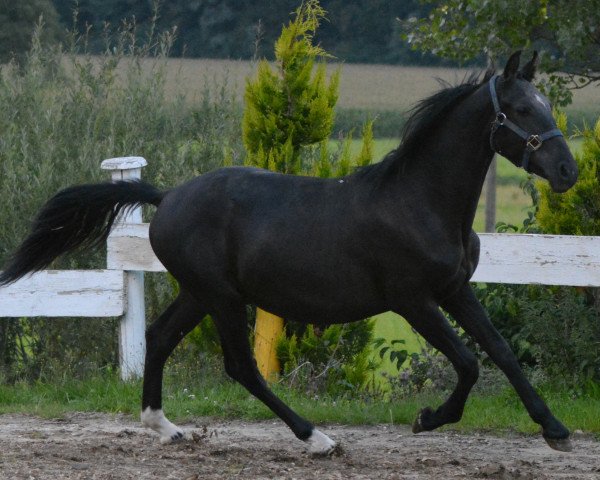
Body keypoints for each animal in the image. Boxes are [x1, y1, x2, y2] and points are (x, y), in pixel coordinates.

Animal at [1, 52, 580, 454]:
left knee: (160, 338)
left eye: (546, 105)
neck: (420, 202)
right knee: (240, 366)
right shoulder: (413, 299)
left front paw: (555, 429)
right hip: (221, 296)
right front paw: (426, 419)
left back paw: (166, 428)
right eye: (521, 109)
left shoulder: (455, 290)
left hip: (201, 293)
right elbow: (468, 361)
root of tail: (166, 197)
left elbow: (500, 352)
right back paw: (316, 438)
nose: (567, 171)